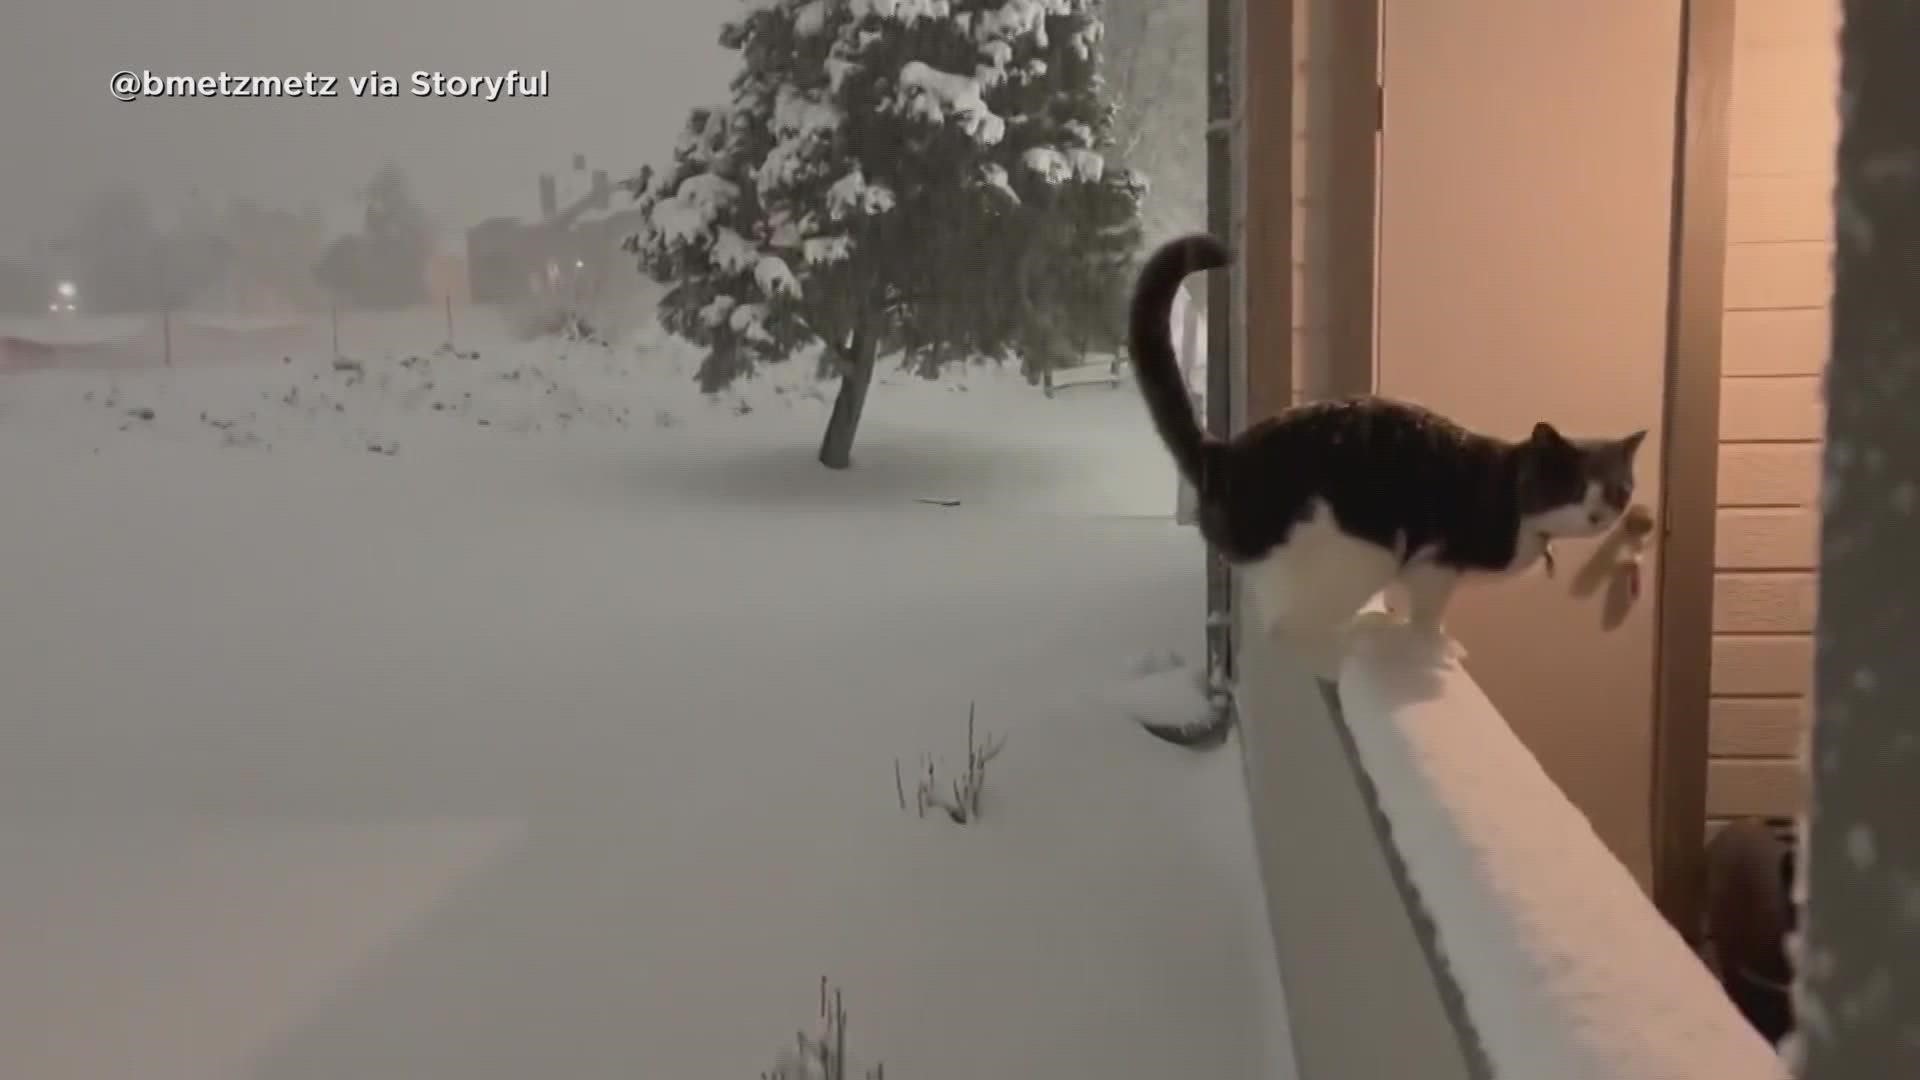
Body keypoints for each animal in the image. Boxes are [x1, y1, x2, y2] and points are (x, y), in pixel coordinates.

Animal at [1121, 233, 1651, 672]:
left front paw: (1394, 623)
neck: (1515, 500)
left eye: (1617, 489)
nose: (1600, 514)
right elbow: (1428, 615)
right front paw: (1433, 649)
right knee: (1284, 630)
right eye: (1572, 485)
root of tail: (1223, 455)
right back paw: (1336, 652)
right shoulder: (1436, 560)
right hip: (1359, 550)